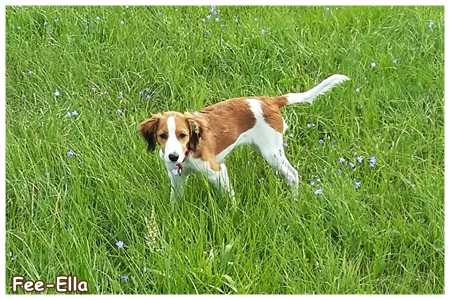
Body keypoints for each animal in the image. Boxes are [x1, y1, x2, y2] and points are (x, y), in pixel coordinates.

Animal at [139, 74, 350, 203]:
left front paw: (233, 212)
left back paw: (295, 200)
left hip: (272, 153)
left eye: (182, 135)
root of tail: (270, 101)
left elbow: (230, 197)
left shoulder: (217, 171)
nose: (173, 156)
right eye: (163, 136)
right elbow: (175, 201)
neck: (189, 152)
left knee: (292, 174)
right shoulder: (176, 177)